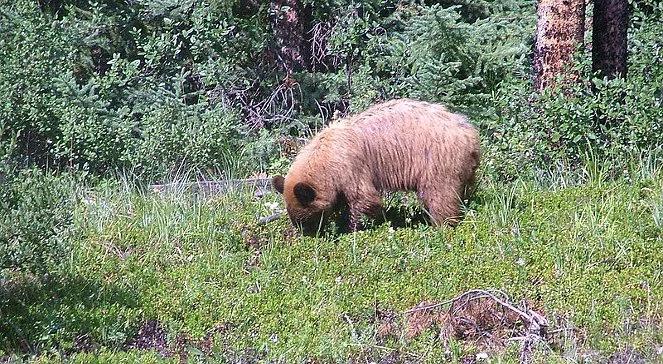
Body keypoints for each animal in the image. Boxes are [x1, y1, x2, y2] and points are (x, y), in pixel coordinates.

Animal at [272, 98, 480, 235]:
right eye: (297, 220)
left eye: (306, 219)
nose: (308, 235)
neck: (325, 158)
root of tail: (470, 134)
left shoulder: (350, 166)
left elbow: (364, 198)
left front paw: (354, 227)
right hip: (465, 167)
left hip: (438, 162)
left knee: (439, 195)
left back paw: (442, 224)